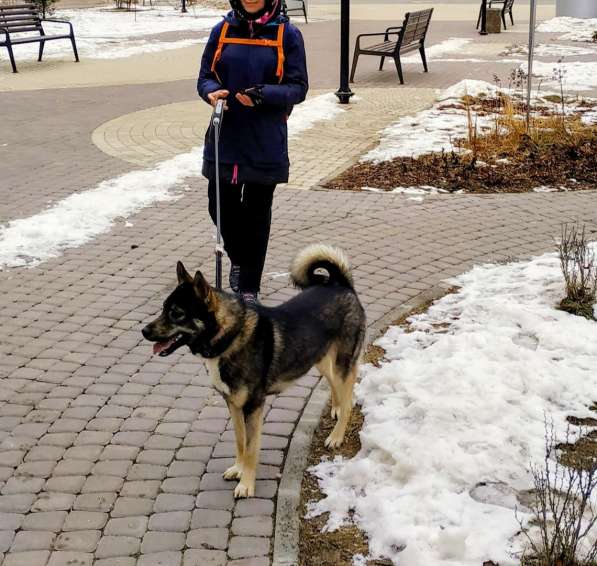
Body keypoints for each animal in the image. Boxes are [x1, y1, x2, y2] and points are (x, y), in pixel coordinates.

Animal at [142, 246, 366, 500]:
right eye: (163, 309)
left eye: (177, 313)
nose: (144, 331)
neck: (230, 336)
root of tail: (341, 284)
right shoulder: (233, 405)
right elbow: (240, 441)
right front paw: (238, 469)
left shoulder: (253, 407)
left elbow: (250, 448)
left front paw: (246, 484)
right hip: (317, 359)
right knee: (336, 387)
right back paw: (336, 408)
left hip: (341, 364)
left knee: (348, 399)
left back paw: (336, 436)